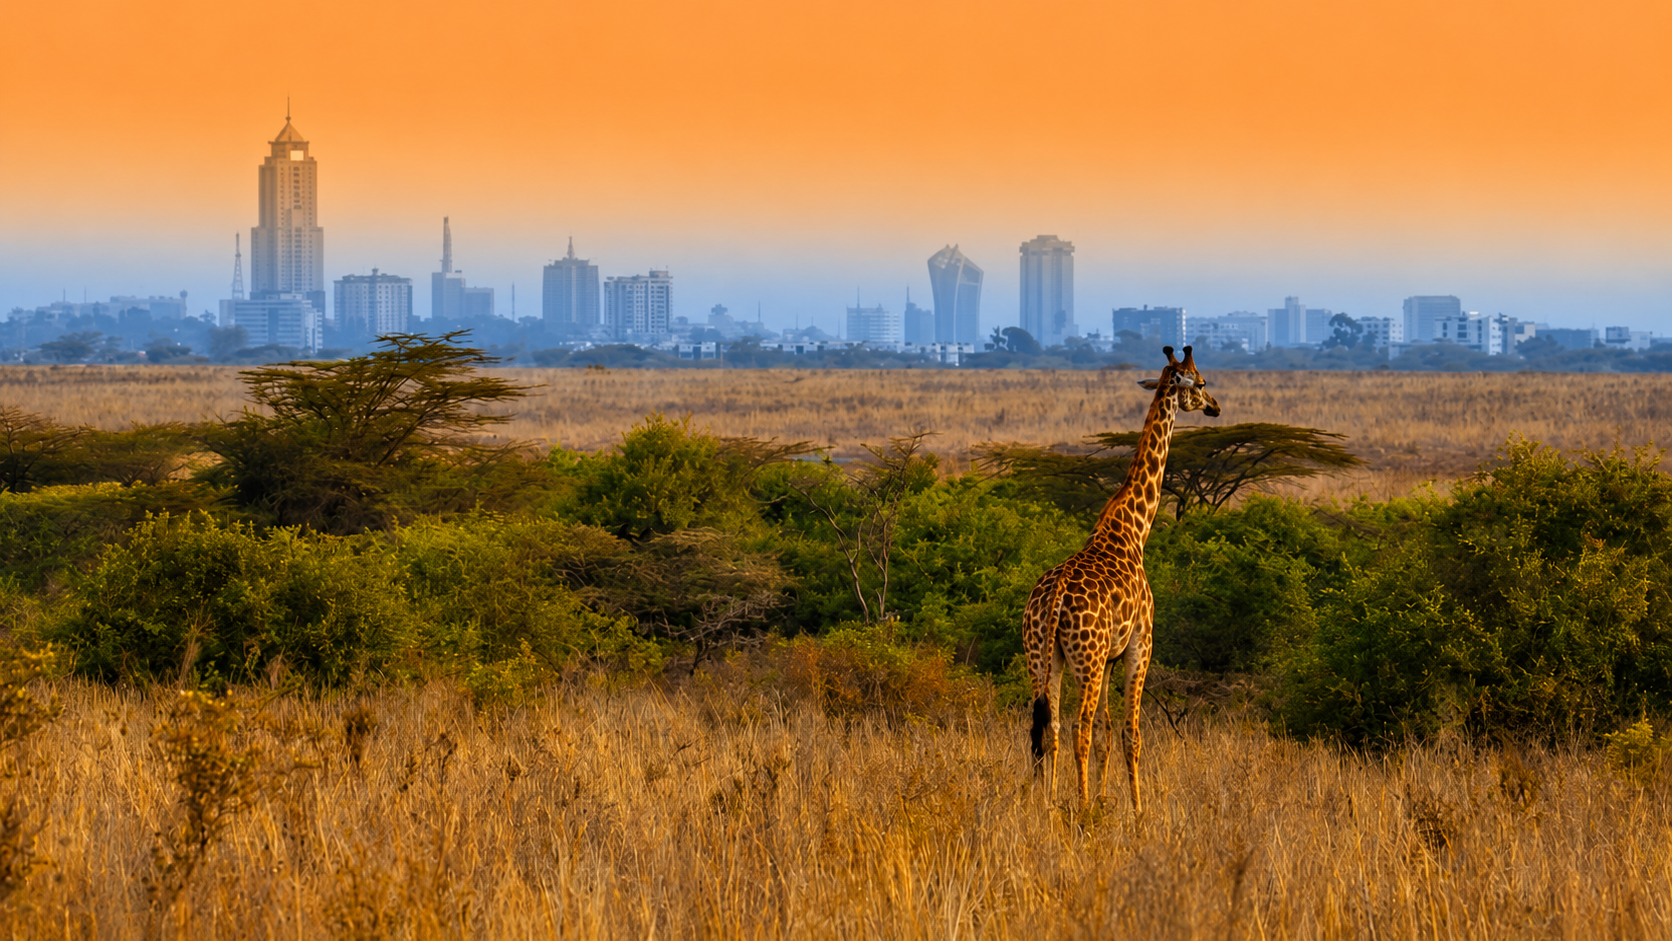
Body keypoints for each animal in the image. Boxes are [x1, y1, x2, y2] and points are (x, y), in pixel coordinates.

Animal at [1022, 345, 1221, 810]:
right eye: (1201, 382)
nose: (1216, 407)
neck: (1132, 529)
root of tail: (1053, 599)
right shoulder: (1140, 644)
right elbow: (1130, 733)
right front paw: (1136, 809)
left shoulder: (1112, 656)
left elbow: (1106, 735)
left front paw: (1105, 799)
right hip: (1087, 659)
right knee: (1077, 727)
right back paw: (1078, 806)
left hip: (1042, 657)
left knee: (1048, 728)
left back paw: (1048, 803)